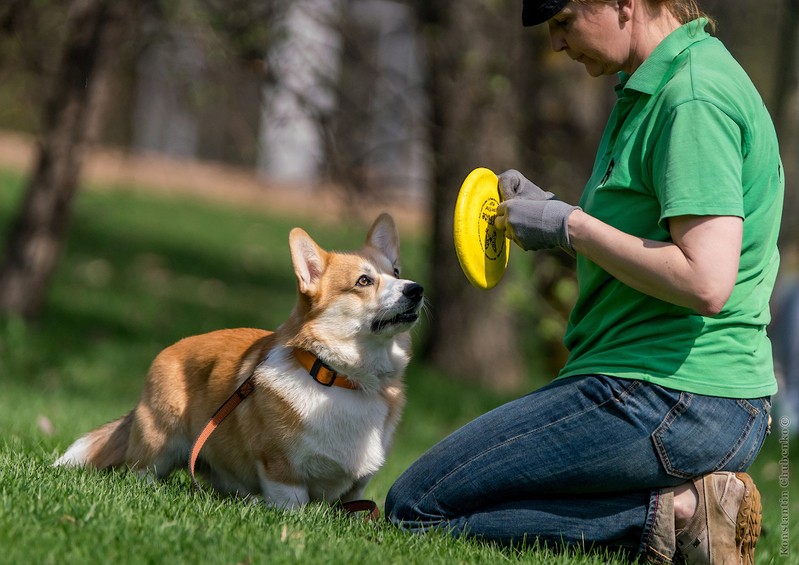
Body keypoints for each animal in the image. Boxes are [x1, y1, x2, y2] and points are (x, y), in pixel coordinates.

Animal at [54, 213, 424, 512]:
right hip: (159, 440)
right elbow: (292, 503)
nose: (416, 289)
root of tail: (168, 350)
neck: (343, 378)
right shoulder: (280, 468)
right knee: (139, 472)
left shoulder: (356, 488)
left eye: (396, 272)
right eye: (364, 281)